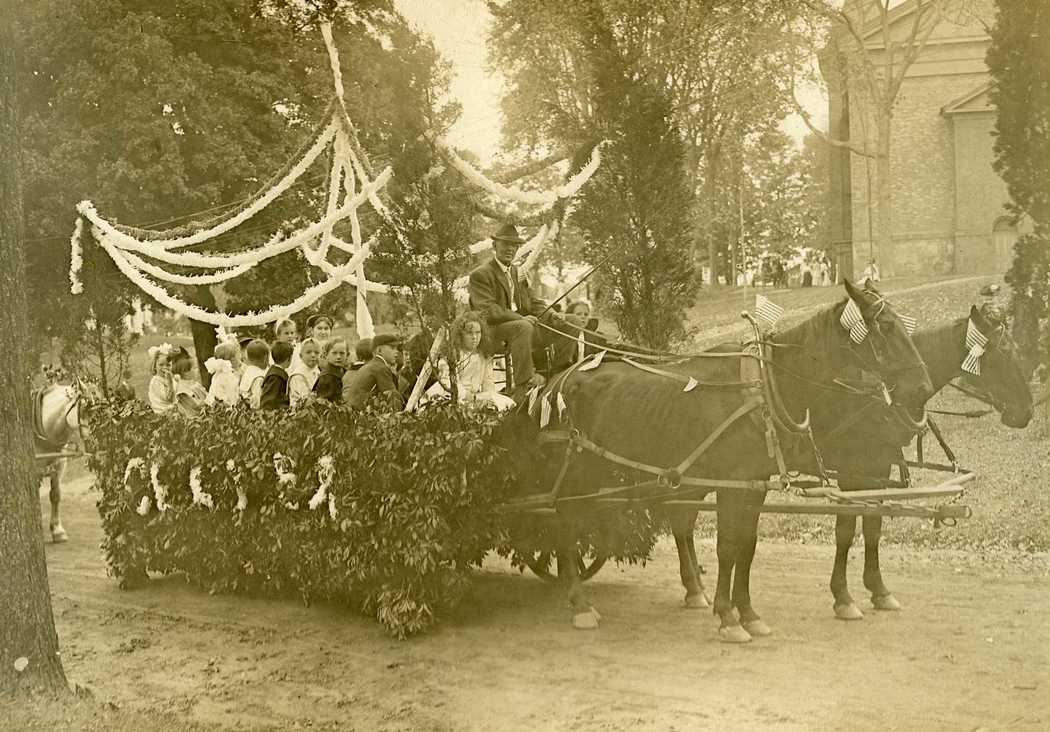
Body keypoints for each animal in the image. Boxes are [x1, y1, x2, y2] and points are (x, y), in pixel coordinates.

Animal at [501, 279, 936, 638]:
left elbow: (748, 546)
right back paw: (579, 602)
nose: (923, 386)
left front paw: (747, 612)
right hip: (573, 472)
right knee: (564, 525)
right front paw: (728, 617)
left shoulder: (754, 486)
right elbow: (728, 546)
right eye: (884, 328)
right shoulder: (734, 483)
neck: (760, 389)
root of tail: (554, 382)